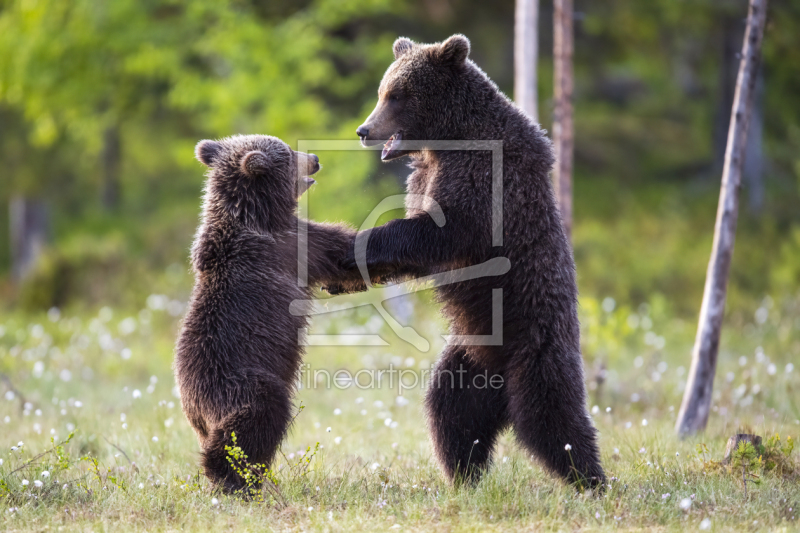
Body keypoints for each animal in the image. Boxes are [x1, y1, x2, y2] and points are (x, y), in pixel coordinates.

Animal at [176, 135, 366, 492]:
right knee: (257, 421)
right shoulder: (290, 246)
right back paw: (234, 478)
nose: (315, 157)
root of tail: (196, 404)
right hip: (244, 382)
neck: (257, 215)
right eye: (290, 154)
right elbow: (338, 247)